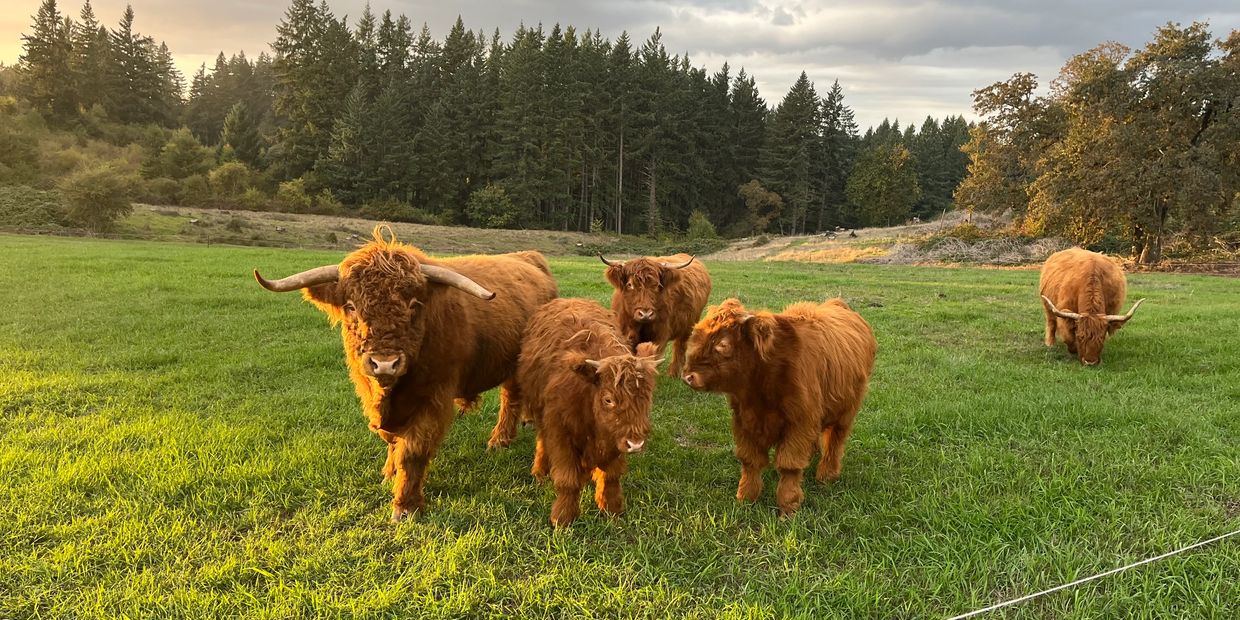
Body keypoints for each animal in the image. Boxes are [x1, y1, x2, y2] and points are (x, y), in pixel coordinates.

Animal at [253, 227, 557, 521]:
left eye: (413, 305)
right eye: (351, 306)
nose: (385, 363)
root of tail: (529, 257)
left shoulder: (433, 398)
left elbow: (413, 451)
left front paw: (406, 505)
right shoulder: (369, 392)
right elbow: (391, 440)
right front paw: (389, 473)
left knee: (510, 397)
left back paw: (499, 440)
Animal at [513, 298, 661, 527]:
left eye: (647, 397)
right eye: (608, 399)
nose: (635, 443)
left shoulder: (615, 438)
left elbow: (611, 476)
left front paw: (612, 508)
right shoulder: (561, 433)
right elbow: (567, 480)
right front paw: (562, 518)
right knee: (542, 441)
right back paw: (539, 472)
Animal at [681, 297, 876, 516]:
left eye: (722, 345)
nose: (688, 376)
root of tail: (837, 303)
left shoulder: (799, 423)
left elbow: (789, 464)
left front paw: (788, 506)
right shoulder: (744, 420)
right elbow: (750, 460)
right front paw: (745, 498)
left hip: (846, 411)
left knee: (835, 441)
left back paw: (827, 475)